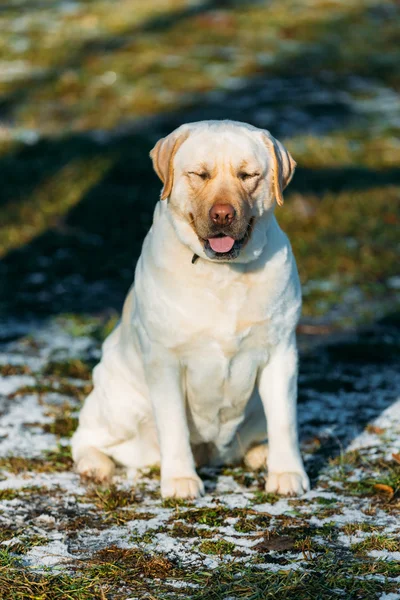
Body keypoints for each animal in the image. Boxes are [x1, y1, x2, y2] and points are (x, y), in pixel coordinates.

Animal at [72, 120, 310, 496]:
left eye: (248, 175)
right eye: (199, 174)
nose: (223, 214)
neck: (223, 274)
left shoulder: (281, 352)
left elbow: (285, 420)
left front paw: (286, 473)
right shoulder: (165, 361)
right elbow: (174, 426)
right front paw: (181, 481)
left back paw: (261, 454)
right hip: (119, 403)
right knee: (87, 437)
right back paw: (95, 466)